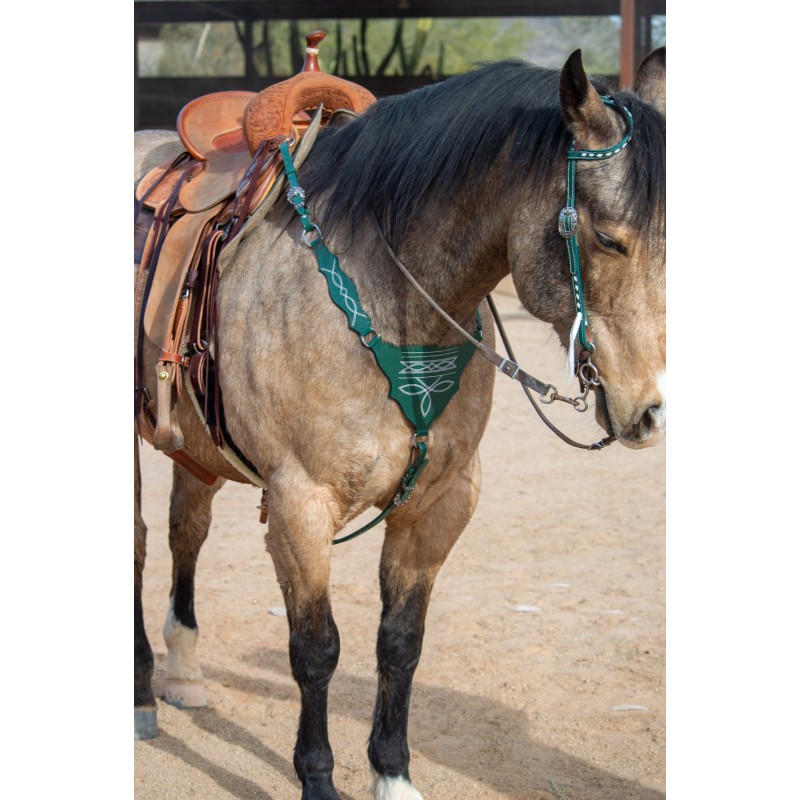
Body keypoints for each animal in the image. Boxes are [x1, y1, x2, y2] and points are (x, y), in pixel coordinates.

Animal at [134, 45, 664, 800]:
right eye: (610, 240)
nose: (650, 409)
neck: (386, 298)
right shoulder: (299, 505)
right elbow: (316, 650)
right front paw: (319, 780)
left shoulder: (439, 502)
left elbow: (401, 643)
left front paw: (392, 773)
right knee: (141, 542)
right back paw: (144, 694)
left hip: (194, 442)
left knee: (187, 531)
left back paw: (182, 672)